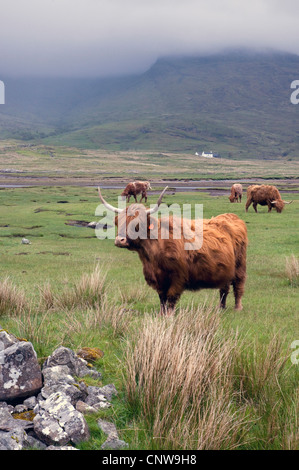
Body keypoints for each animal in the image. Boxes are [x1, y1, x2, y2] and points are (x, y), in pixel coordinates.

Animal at [98, 185, 248, 314]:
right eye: (118, 222)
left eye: (137, 224)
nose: (120, 240)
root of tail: (232, 217)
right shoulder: (158, 278)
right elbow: (162, 298)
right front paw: (161, 314)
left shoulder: (178, 276)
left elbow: (171, 297)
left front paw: (169, 315)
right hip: (226, 268)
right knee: (224, 288)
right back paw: (221, 308)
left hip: (240, 265)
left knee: (238, 285)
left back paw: (238, 308)